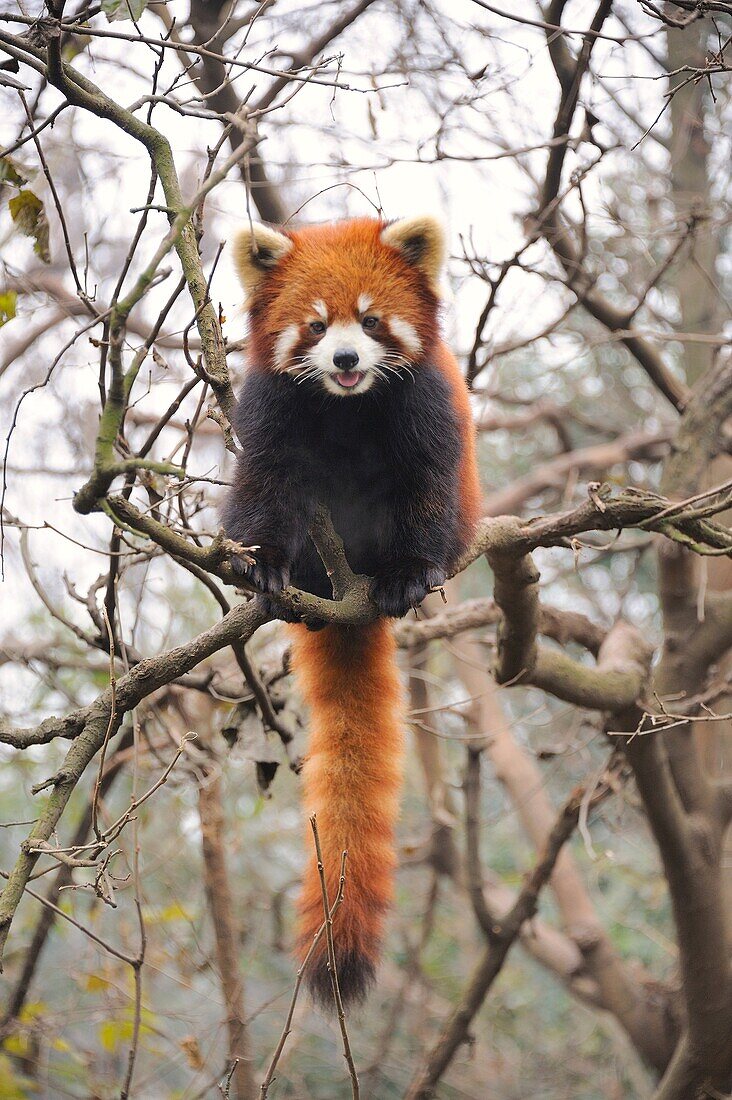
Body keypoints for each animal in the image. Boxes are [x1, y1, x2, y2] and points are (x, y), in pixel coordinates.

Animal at [225, 214, 482, 1007]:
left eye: (370, 321)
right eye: (315, 325)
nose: (343, 357)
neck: (347, 405)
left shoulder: (424, 404)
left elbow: (424, 480)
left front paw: (409, 572)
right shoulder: (270, 409)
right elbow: (265, 481)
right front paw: (264, 563)